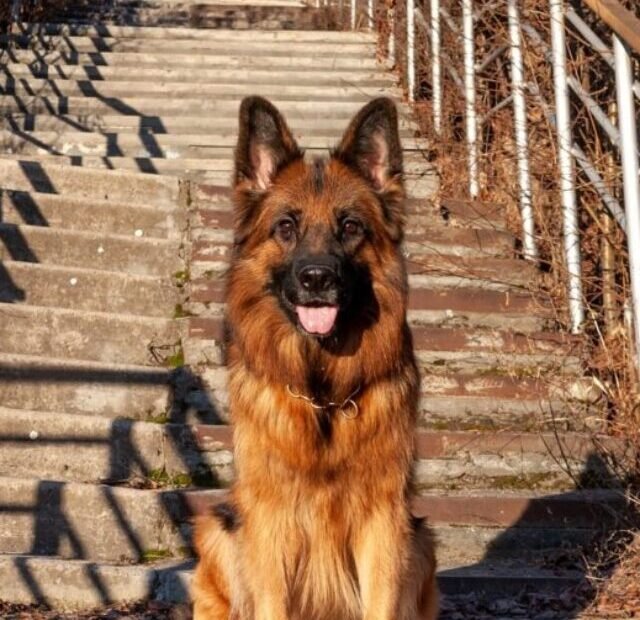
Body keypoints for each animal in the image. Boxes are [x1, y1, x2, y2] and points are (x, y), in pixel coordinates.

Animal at [192, 97, 438, 620]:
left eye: (350, 227)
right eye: (286, 226)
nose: (317, 279)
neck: (321, 394)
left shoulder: (384, 523)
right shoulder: (269, 522)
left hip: (422, 541)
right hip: (220, 530)